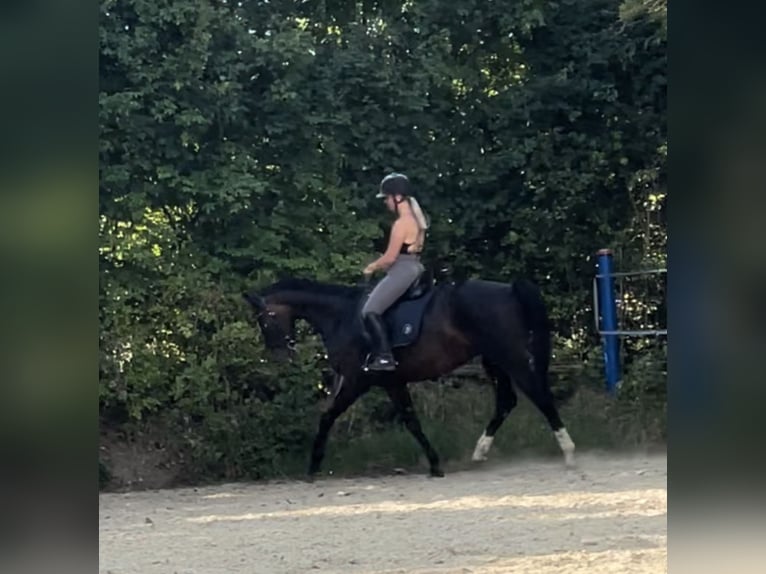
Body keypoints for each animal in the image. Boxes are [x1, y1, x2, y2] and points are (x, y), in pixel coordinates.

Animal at [244, 272, 576, 480]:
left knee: (540, 395)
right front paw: (435, 465)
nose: (280, 357)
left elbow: (329, 417)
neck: (342, 317)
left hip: (511, 356)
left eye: (265, 319)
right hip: (494, 361)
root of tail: (509, 289)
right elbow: (411, 421)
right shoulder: (391, 382)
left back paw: (569, 452)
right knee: (506, 400)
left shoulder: (358, 380)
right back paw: (480, 451)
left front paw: (313, 467)